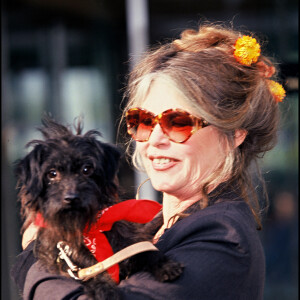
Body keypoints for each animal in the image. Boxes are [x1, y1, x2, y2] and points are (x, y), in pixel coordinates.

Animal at [15, 117, 183, 300]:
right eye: (52, 174)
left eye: (86, 169)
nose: (71, 198)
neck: (86, 229)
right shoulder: (74, 269)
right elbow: (92, 279)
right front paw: (105, 290)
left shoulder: (128, 243)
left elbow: (144, 251)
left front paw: (164, 265)